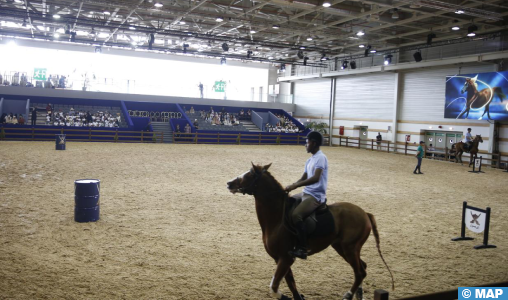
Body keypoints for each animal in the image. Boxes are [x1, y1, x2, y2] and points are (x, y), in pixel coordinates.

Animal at [227, 164, 396, 300]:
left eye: (249, 175)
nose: (229, 183)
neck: (277, 218)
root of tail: (365, 213)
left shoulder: (286, 258)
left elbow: (274, 287)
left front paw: (285, 297)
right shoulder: (279, 259)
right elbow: (290, 283)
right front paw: (297, 296)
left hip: (349, 248)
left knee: (360, 272)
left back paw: (348, 295)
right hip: (342, 247)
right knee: (361, 268)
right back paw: (358, 295)